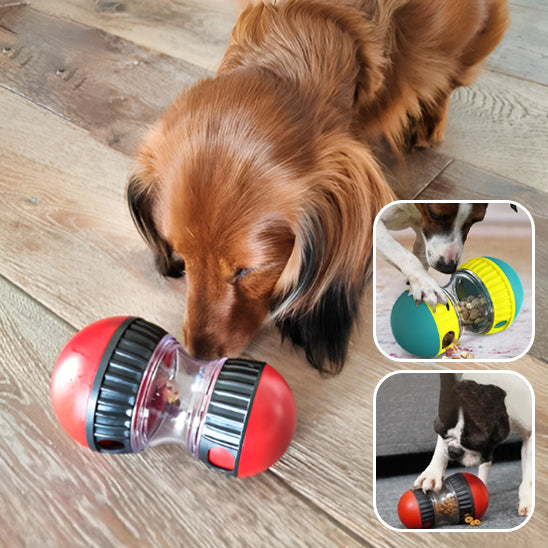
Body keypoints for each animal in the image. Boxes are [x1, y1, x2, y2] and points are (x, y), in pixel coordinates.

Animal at [414, 370, 532, 516]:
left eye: (476, 443)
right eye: (442, 432)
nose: (454, 451)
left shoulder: (530, 434)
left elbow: (529, 471)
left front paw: (527, 499)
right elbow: (441, 449)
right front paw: (431, 475)